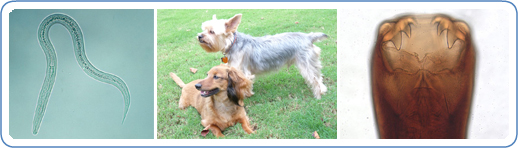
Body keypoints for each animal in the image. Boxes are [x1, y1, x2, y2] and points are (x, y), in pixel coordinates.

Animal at [198, 13, 330, 99]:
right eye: (204, 29)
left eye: (211, 32)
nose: (199, 36)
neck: (233, 43)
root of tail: (308, 37)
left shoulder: (243, 72)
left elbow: (244, 84)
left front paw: (245, 95)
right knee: (318, 76)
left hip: (305, 62)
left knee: (314, 79)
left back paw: (318, 94)